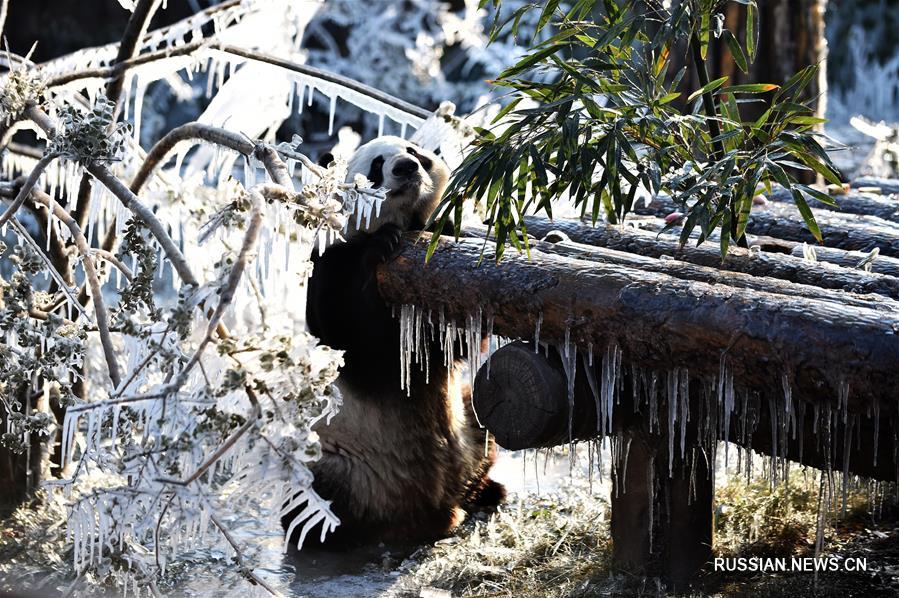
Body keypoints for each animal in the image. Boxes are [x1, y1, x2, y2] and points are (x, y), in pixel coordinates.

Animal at [284, 136, 506, 548]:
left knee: (484, 423)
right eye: (376, 165)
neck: (402, 224)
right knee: (313, 503)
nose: (406, 167)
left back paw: (485, 491)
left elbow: (449, 344)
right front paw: (379, 249)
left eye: (415, 152)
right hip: (341, 459)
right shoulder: (329, 262)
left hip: (468, 424)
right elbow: (349, 339)